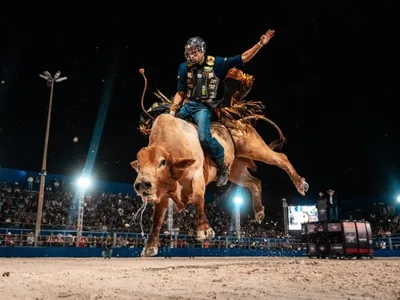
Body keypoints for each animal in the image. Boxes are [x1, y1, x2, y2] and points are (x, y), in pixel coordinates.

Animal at [130, 113, 308, 258]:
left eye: (162, 162)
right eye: (139, 165)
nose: (142, 184)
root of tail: (239, 122)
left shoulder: (197, 176)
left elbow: (198, 199)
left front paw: (204, 230)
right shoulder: (163, 195)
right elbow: (157, 219)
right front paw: (150, 247)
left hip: (257, 149)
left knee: (281, 158)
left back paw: (301, 184)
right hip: (236, 169)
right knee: (255, 183)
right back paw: (258, 211)